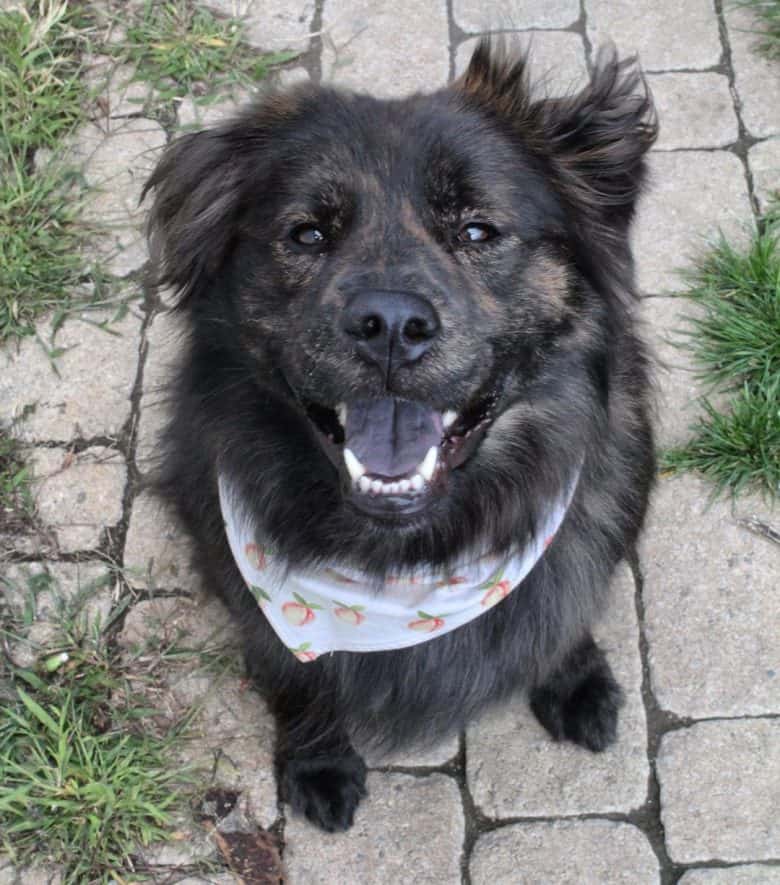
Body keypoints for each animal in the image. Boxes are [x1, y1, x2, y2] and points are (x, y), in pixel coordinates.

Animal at [143, 39, 656, 828]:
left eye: (477, 230)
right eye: (308, 233)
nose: (389, 325)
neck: (406, 568)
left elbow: (562, 617)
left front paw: (575, 682)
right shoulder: (253, 600)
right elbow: (293, 675)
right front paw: (317, 758)